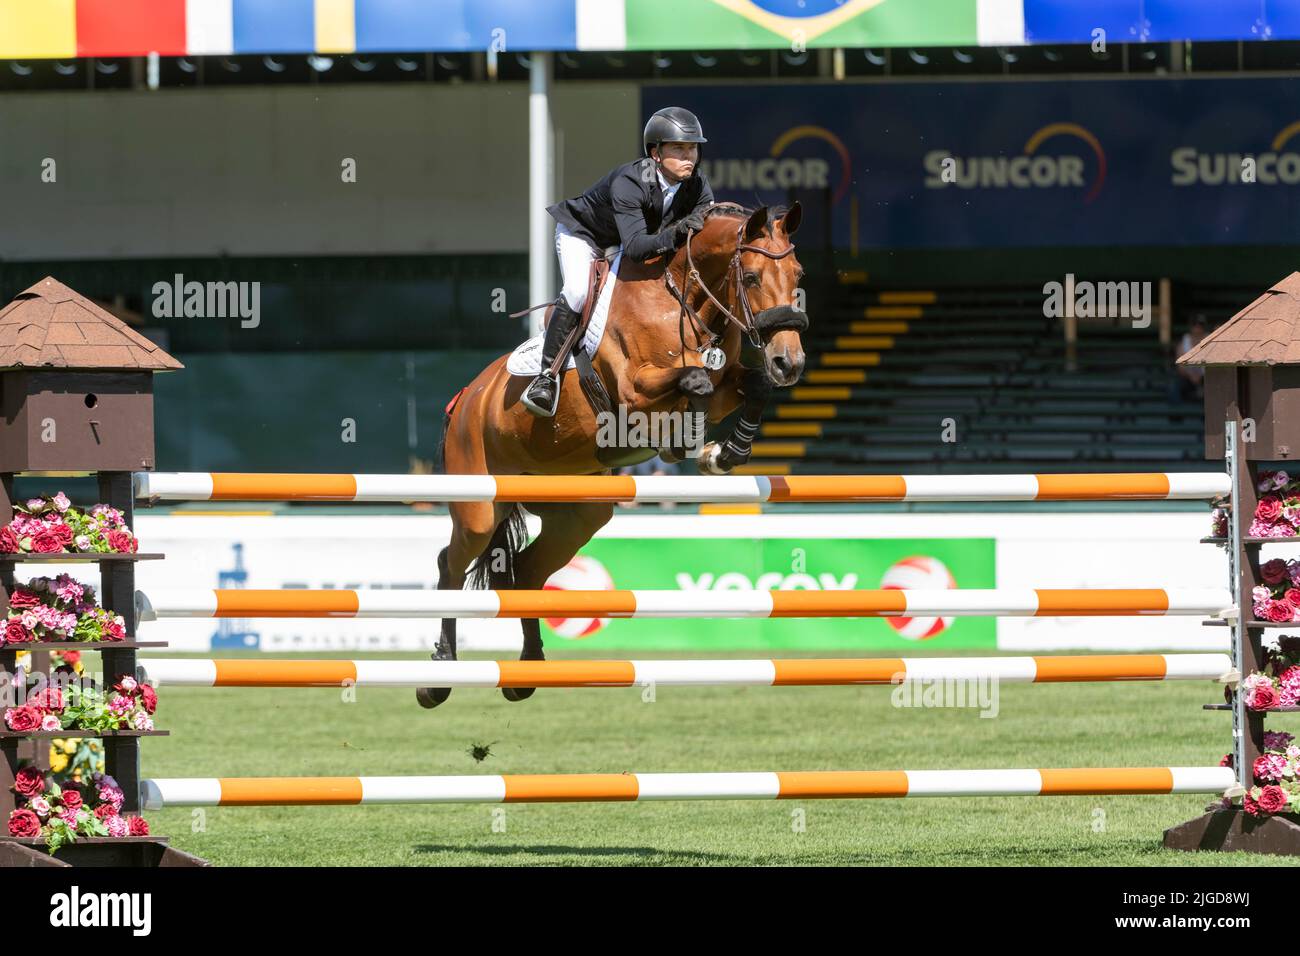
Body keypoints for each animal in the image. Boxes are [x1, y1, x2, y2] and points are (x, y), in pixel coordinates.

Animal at [418, 201, 800, 712]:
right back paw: (437, 675)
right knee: (450, 564)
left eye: (798, 274)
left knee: (527, 570)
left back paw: (527, 670)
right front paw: (687, 440)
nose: (789, 363)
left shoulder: (726, 384)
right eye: (754, 277)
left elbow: (747, 383)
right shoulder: (635, 391)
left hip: (579, 512)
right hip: (478, 504)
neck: (683, 298)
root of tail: (464, 398)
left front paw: (724, 452)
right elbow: (695, 379)